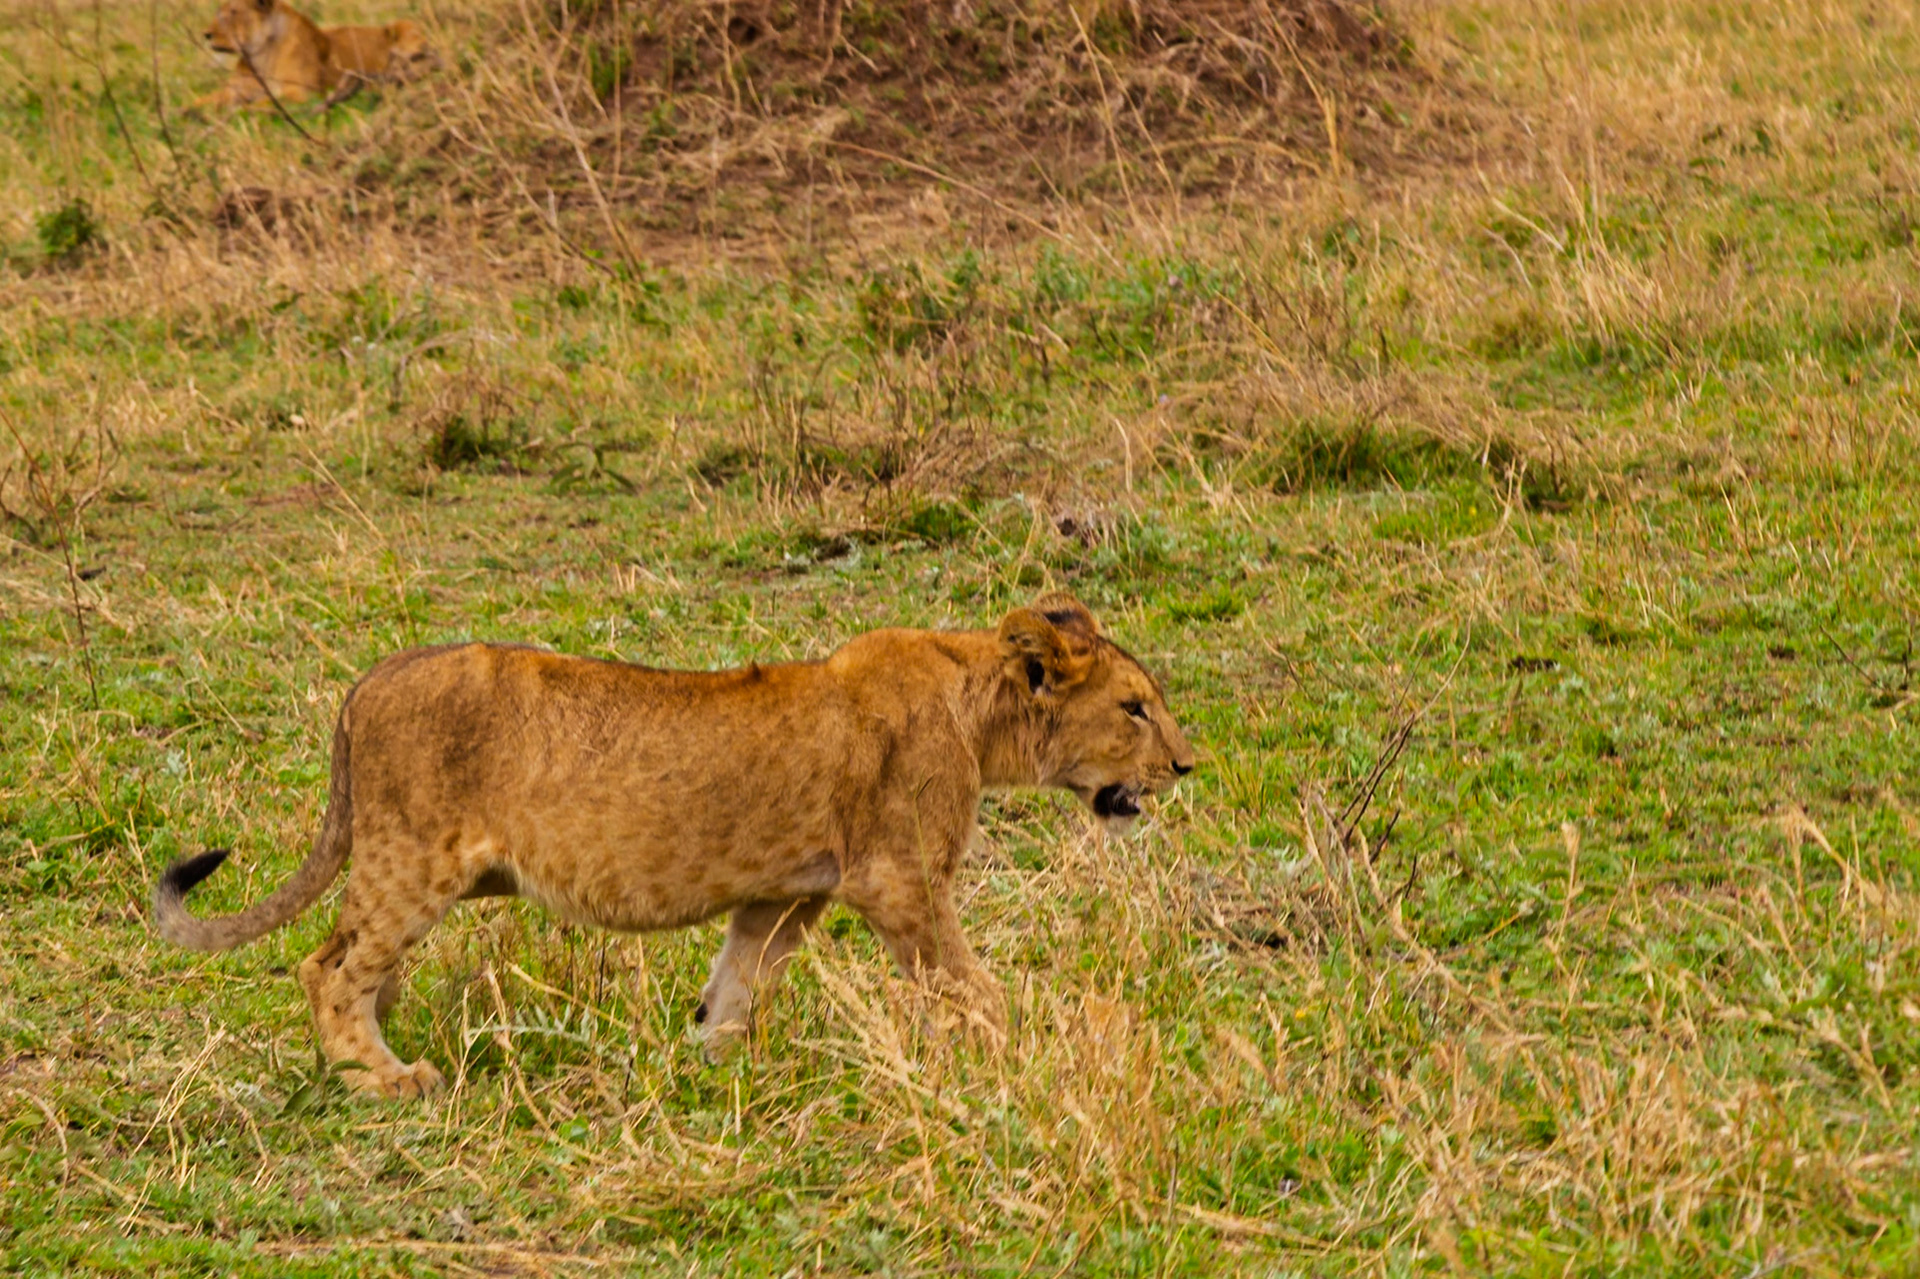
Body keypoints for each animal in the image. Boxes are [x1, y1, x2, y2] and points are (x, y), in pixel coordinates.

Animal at [152, 594, 1195, 1099]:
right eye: (1135, 707)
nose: (1187, 764)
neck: (977, 704)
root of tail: (371, 679)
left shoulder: (785, 894)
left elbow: (737, 984)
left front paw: (708, 1066)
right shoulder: (896, 879)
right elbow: (967, 984)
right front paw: (1032, 1052)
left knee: (359, 968)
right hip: (413, 863)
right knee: (326, 965)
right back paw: (381, 1079)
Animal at [194, 0, 432, 111]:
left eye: (233, 12)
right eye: (219, 10)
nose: (206, 34)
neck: (259, 54)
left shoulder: (301, 93)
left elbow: (263, 103)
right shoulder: (232, 90)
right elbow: (200, 101)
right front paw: (192, 112)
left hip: (404, 26)